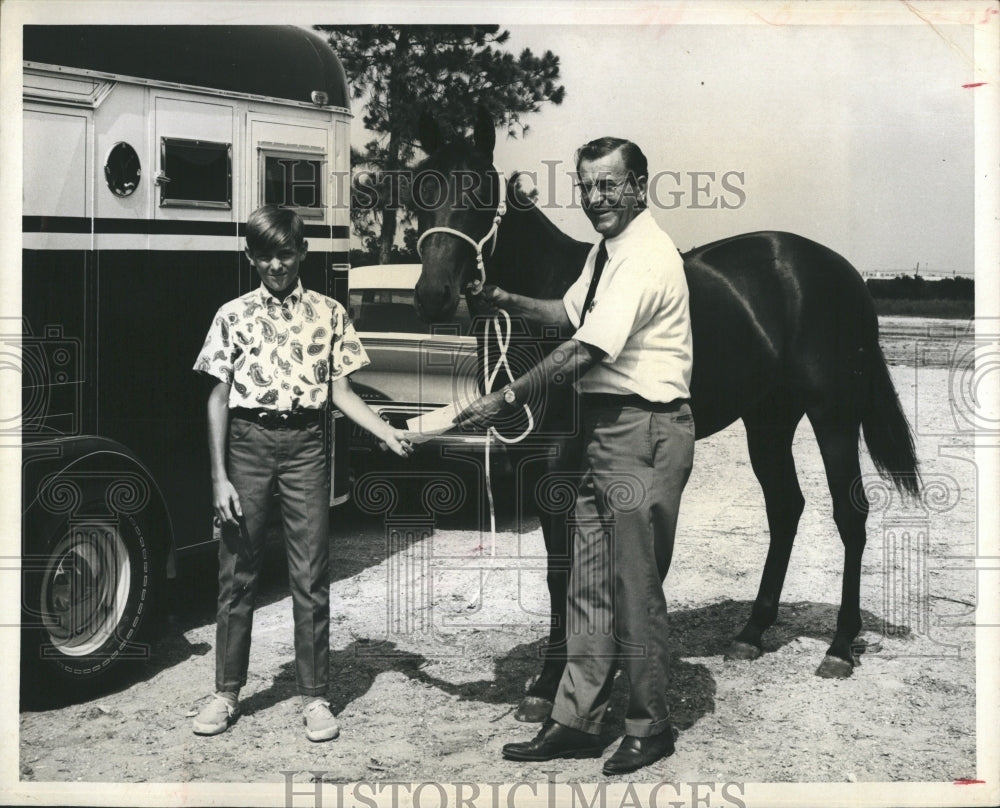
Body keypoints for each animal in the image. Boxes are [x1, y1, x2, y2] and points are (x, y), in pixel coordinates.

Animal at [408, 107, 920, 720]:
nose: (432, 295)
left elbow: (564, 572)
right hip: (768, 421)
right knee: (786, 508)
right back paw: (751, 632)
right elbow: (565, 568)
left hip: (833, 416)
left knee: (850, 515)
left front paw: (550, 685)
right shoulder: (536, 461)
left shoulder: (559, 462)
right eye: (418, 189)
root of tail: (841, 271)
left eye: (480, 191)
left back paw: (840, 646)